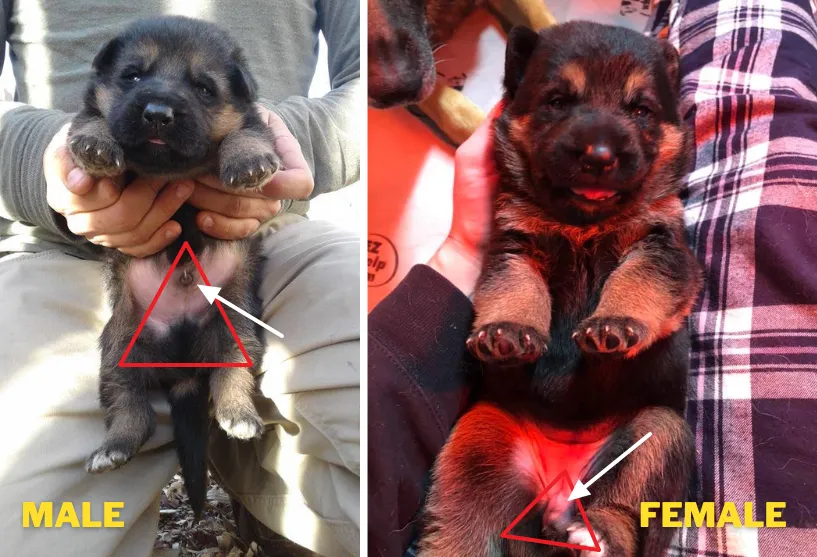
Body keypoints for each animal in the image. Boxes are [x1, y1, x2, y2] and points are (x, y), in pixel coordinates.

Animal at [67, 18, 278, 520]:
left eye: (204, 88)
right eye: (133, 76)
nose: (158, 113)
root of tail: (182, 364)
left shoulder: (254, 120)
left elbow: (249, 132)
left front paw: (248, 159)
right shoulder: (94, 111)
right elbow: (90, 117)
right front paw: (95, 142)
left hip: (236, 332)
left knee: (231, 376)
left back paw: (240, 416)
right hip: (119, 345)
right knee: (130, 406)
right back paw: (114, 447)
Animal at [420, 21, 700, 556]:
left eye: (641, 110)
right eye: (557, 101)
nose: (599, 156)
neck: (582, 221)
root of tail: (559, 493)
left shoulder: (663, 249)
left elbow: (635, 280)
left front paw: (615, 323)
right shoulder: (513, 248)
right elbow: (518, 291)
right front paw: (507, 333)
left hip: (658, 432)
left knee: (622, 508)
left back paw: (596, 535)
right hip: (481, 441)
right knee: (466, 529)